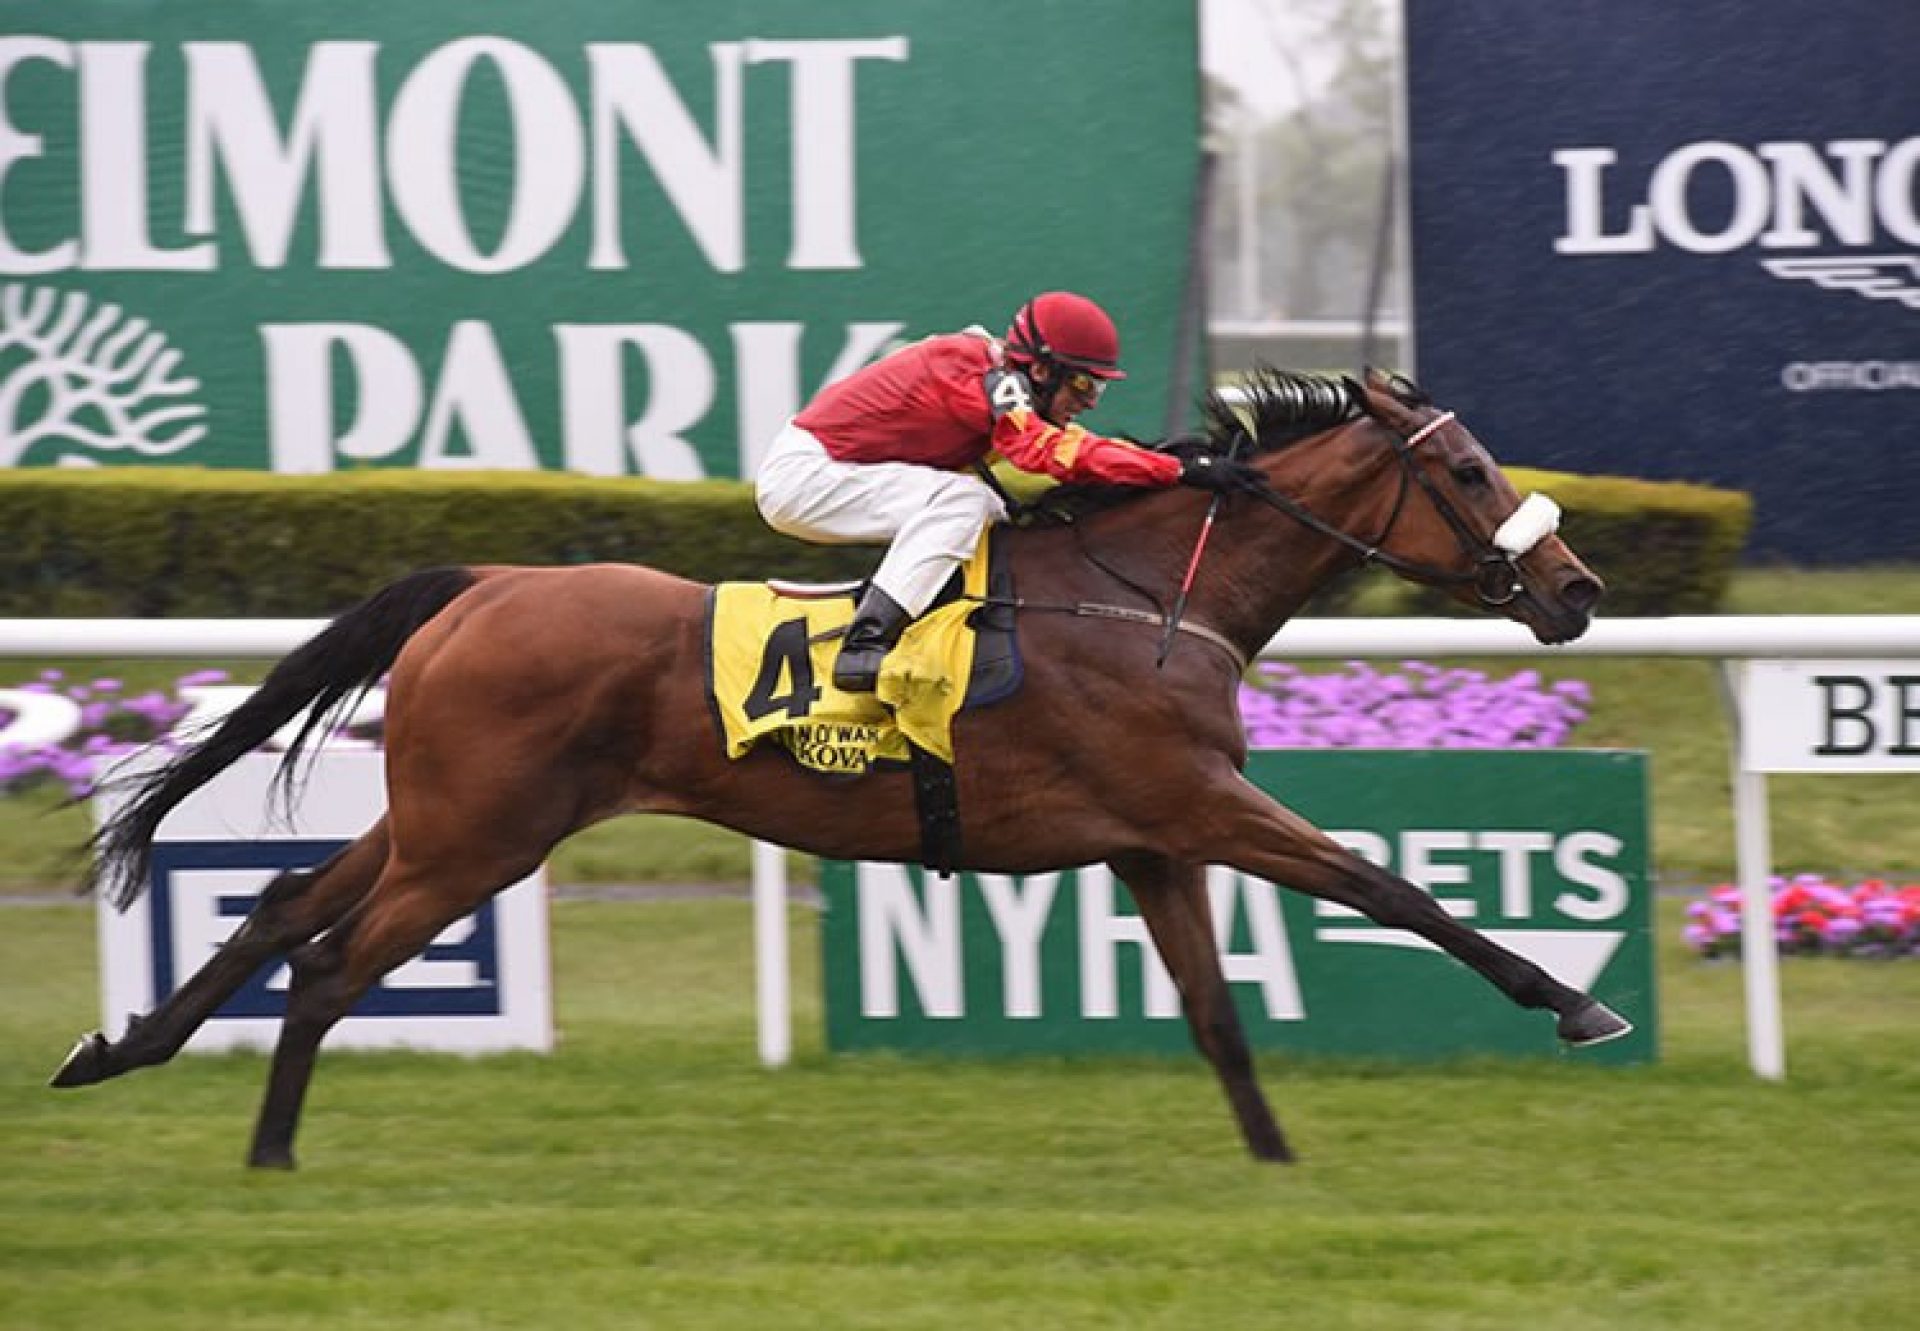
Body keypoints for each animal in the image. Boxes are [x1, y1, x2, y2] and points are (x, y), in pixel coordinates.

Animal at [52, 363, 1628, 1160]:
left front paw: (1278, 1165)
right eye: (1469, 472)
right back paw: (267, 1152)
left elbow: (1217, 1015)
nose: (1578, 588)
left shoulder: (1154, 839)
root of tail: (487, 580)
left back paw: (118, 1045)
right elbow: (1391, 888)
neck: (1148, 599)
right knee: (326, 965)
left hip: (442, 818)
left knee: (276, 908)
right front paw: (1573, 1001)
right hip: (478, 837)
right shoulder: (1201, 802)